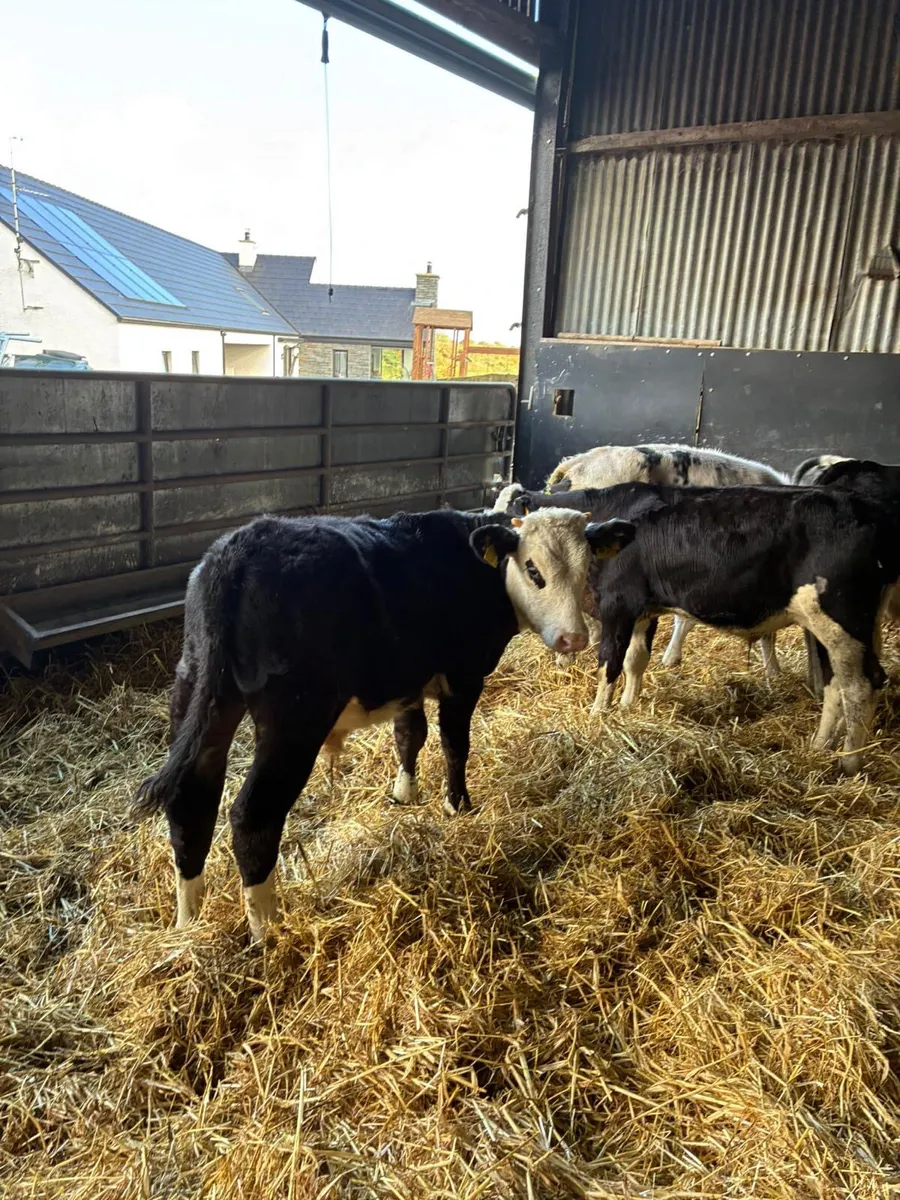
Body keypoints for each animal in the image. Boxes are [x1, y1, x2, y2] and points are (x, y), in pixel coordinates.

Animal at [134, 506, 635, 940]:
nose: (574, 638)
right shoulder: (463, 675)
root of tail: (239, 549)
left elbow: (409, 736)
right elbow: (455, 743)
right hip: (293, 720)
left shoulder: (408, 683)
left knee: (191, 801)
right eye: (534, 570)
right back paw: (268, 933)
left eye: (588, 565)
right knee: (252, 815)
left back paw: (188, 922)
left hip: (198, 693)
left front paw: (404, 794)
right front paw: (458, 805)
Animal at [504, 483, 899, 776]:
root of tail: (869, 509)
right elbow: (636, 660)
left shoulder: (618, 604)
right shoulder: (644, 610)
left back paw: (849, 762)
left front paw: (597, 715)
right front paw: (630, 707)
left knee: (860, 685)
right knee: (836, 684)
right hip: (829, 627)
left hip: (842, 618)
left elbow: (610, 664)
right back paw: (819, 747)